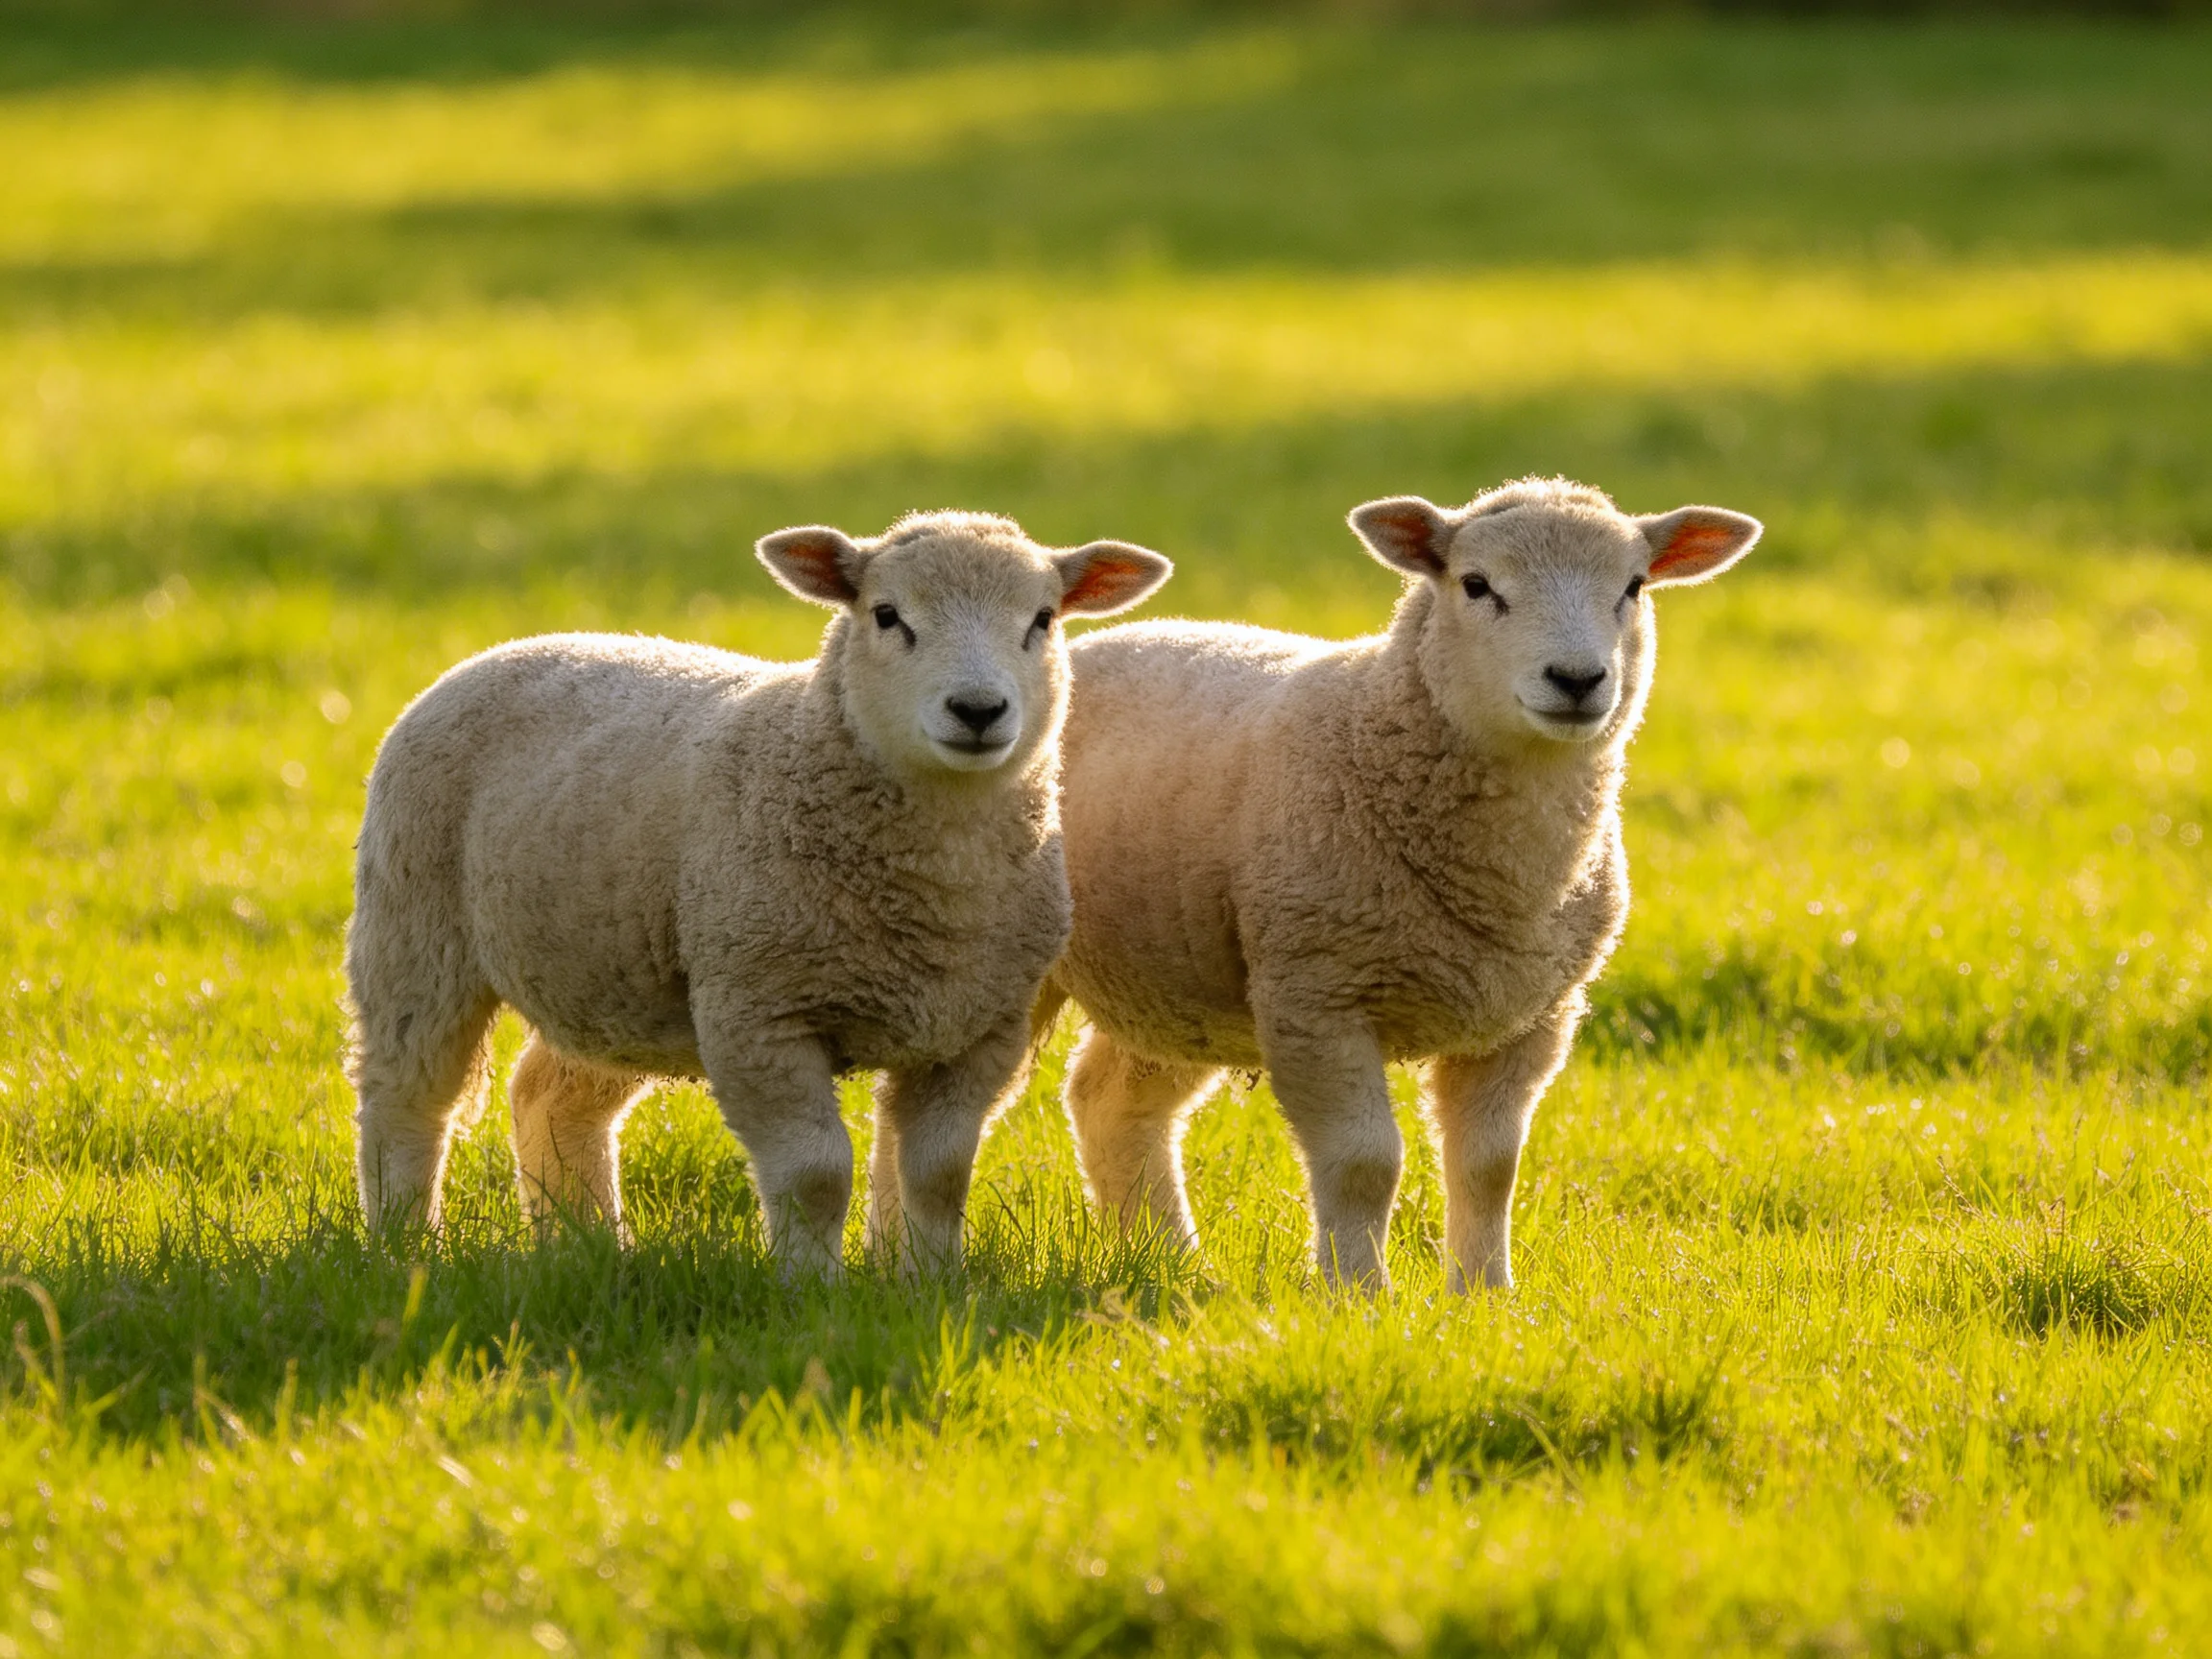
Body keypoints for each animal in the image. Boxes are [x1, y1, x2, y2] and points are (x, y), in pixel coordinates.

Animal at [346, 511, 1172, 1273]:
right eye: (887, 615)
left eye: (1042, 620)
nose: (977, 711)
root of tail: (512, 646)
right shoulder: (758, 1012)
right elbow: (816, 1175)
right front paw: (812, 1291)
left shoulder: (976, 1029)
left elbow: (939, 1176)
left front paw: (933, 1286)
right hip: (415, 927)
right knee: (406, 1100)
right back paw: (403, 1245)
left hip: (611, 973)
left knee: (550, 1096)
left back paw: (588, 1246)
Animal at [1036, 478, 1759, 1292]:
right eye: (1476, 585)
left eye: (1633, 588)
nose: (1577, 680)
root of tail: (1086, 647)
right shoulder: (1315, 996)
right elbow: (1364, 1164)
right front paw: (1357, 1294)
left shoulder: (1531, 1017)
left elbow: (1489, 1167)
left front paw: (1485, 1296)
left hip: (1176, 981)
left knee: (1109, 1101)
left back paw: (1173, 1264)